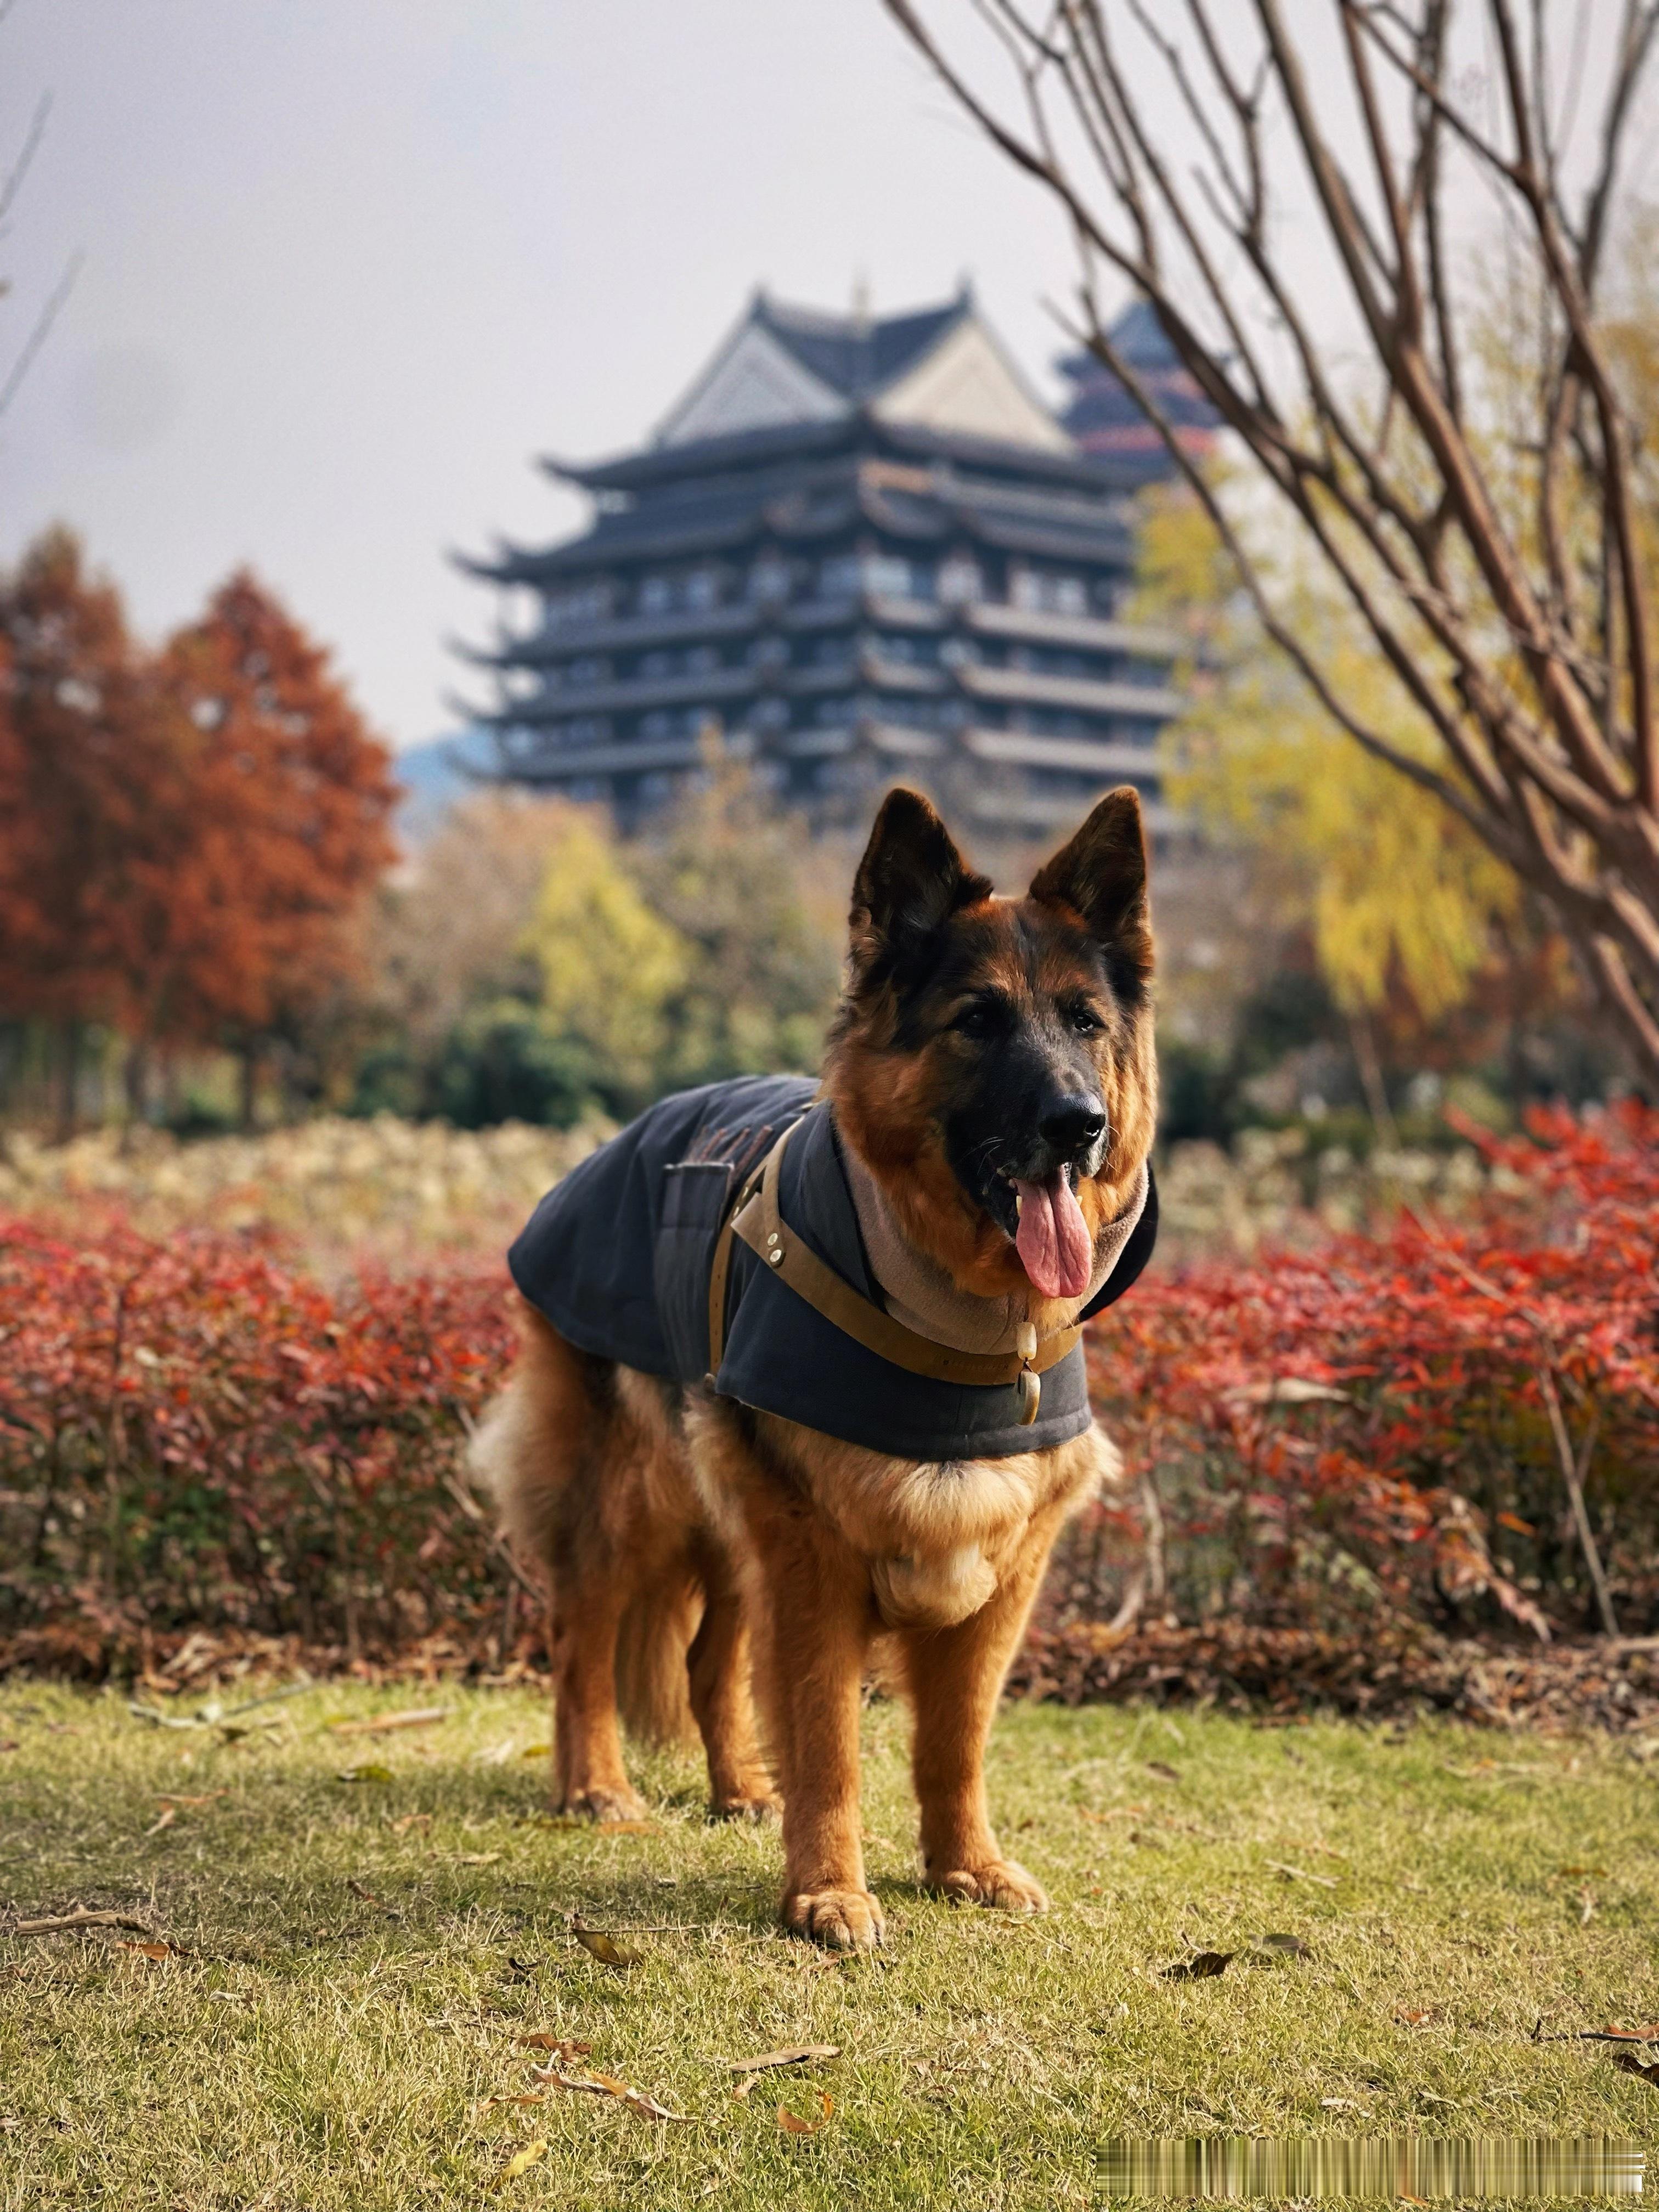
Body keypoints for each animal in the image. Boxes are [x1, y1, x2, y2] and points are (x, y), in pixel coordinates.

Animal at [471, 783, 1159, 1955]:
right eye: (977, 1021)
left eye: (1083, 1022)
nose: (1079, 1125)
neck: (960, 1322)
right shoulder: (813, 1560)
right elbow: (827, 1740)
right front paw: (827, 1892)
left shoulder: (999, 1569)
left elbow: (953, 1742)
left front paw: (963, 1866)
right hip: (632, 1501)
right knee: (580, 1639)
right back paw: (597, 1786)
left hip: (727, 1521)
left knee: (707, 1666)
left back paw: (740, 1786)